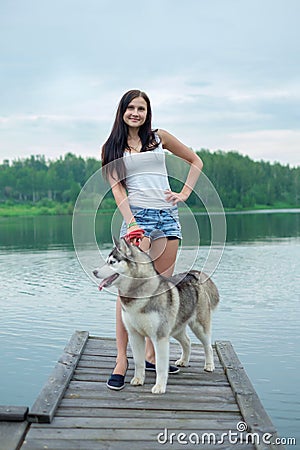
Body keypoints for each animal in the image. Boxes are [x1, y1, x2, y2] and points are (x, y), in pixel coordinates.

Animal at [92, 239, 219, 394]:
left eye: (112, 262)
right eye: (106, 261)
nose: (94, 271)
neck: (138, 295)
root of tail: (192, 275)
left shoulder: (160, 337)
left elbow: (160, 366)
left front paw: (159, 387)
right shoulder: (134, 335)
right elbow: (139, 362)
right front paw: (138, 379)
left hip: (199, 327)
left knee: (207, 345)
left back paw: (209, 365)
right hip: (176, 328)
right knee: (187, 342)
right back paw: (184, 361)